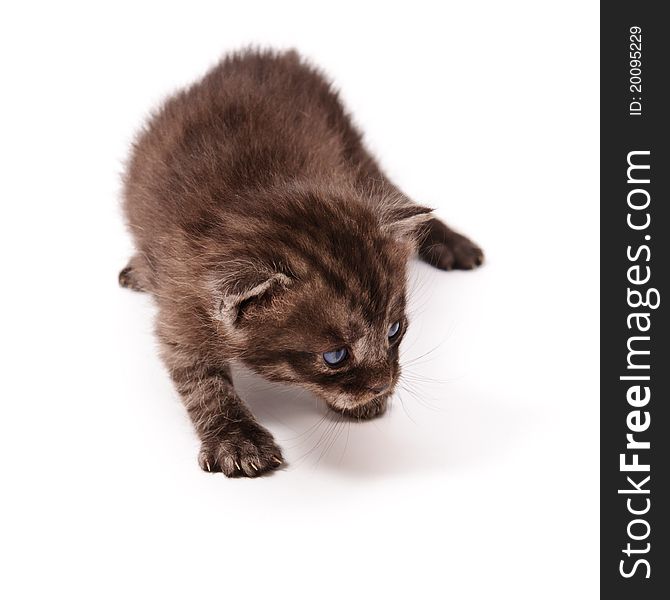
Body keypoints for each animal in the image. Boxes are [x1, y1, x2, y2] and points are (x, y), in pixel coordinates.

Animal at [121, 48, 484, 478]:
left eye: (394, 331)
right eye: (334, 356)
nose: (382, 384)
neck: (256, 202)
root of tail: (263, 55)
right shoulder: (180, 310)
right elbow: (201, 382)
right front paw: (236, 438)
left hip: (352, 147)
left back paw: (453, 243)